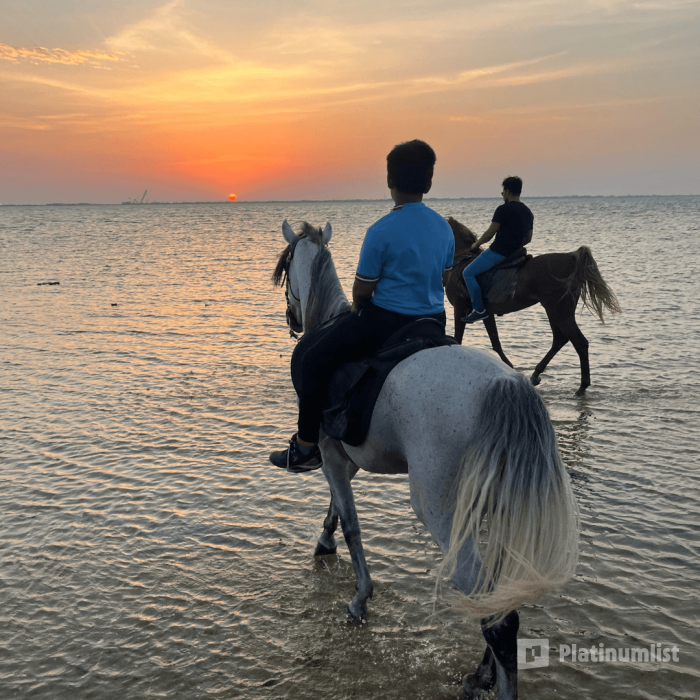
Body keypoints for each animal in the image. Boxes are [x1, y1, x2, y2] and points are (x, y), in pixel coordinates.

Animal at [271, 220, 580, 700]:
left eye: (285, 268)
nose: (292, 318)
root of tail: (506, 386)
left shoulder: (331, 457)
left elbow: (351, 523)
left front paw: (359, 598)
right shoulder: (345, 458)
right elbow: (336, 510)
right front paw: (325, 542)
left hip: (441, 511)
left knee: (498, 617)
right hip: (492, 510)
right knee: (496, 595)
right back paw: (480, 674)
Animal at [444, 217, 621, 396]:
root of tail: (571, 258)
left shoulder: (459, 309)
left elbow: (458, 338)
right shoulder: (486, 313)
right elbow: (496, 342)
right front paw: (509, 366)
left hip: (560, 311)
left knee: (579, 342)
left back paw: (582, 387)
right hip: (554, 310)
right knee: (560, 339)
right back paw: (536, 374)